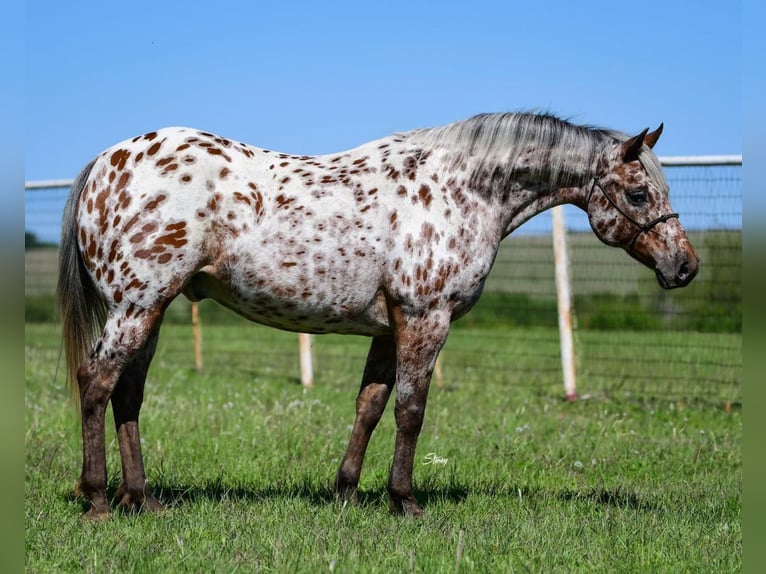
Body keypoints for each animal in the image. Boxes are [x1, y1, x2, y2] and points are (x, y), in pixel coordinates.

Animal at [55, 112, 704, 520]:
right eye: (640, 194)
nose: (686, 266)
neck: (458, 190)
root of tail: (105, 163)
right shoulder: (425, 319)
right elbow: (411, 411)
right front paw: (405, 500)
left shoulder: (390, 329)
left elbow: (369, 405)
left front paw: (345, 492)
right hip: (135, 306)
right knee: (97, 383)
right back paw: (98, 500)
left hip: (152, 310)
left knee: (128, 395)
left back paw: (143, 499)